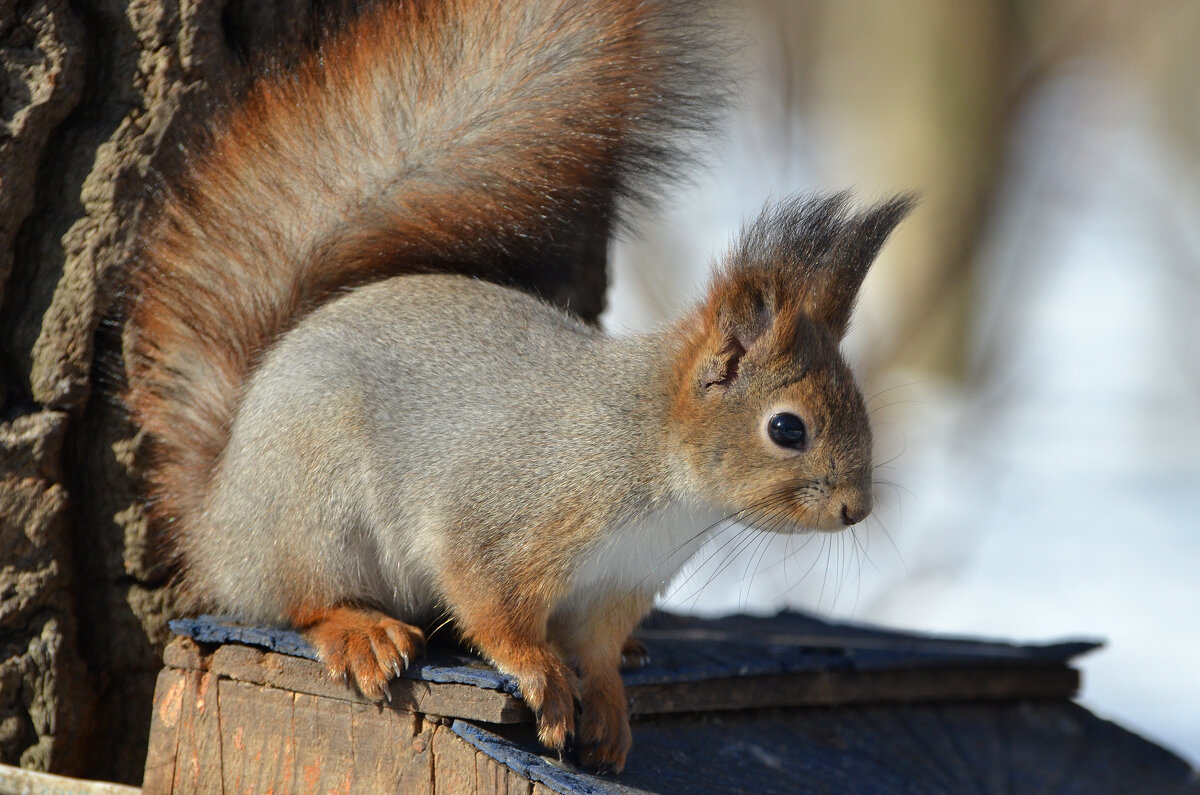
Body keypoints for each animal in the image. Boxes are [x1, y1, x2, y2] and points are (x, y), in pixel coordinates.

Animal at [121, 0, 907, 778]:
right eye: (786, 428)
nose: (856, 509)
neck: (652, 456)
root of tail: (217, 515)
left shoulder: (617, 583)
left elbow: (596, 646)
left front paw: (609, 703)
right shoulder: (505, 518)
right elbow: (491, 605)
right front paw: (541, 674)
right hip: (313, 508)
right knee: (299, 598)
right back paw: (362, 630)